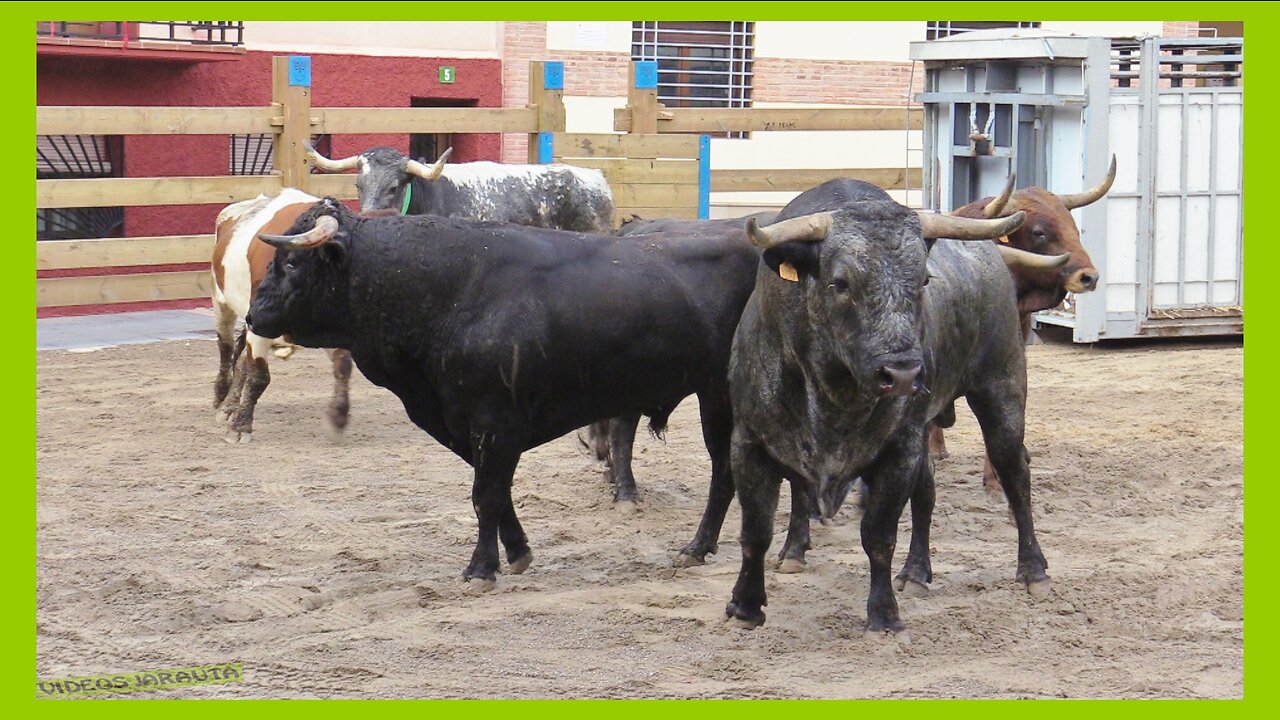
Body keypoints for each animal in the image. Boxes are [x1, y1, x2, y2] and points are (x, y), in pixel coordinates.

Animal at [209, 188, 353, 440]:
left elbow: (343, 365)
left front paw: (338, 416)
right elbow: (259, 376)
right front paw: (240, 427)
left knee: (241, 361)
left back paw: (230, 407)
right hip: (221, 301)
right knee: (226, 349)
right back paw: (221, 398)